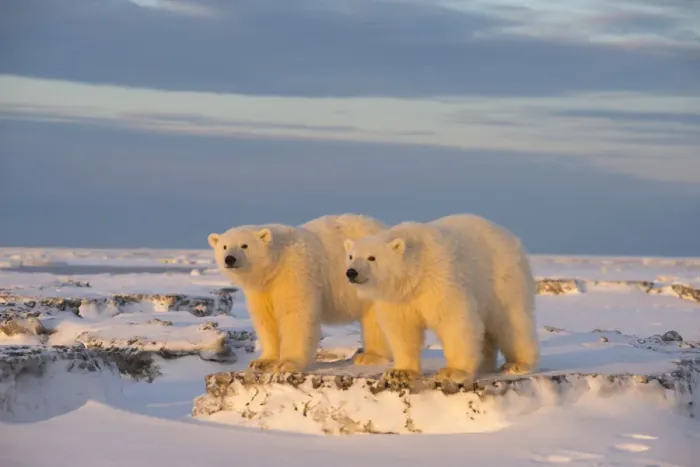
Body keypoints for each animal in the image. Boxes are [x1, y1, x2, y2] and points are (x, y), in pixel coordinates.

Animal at [208, 214, 391, 373]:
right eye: (224, 246)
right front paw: (263, 361)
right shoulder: (261, 289)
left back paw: (370, 357)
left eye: (244, 245)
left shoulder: (293, 273)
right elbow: (266, 318)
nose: (229, 259)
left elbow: (295, 314)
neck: (275, 264)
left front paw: (286, 363)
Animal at [343, 213, 539, 385]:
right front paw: (400, 372)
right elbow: (402, 328)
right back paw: (485, 364)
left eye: (371, 257)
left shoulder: (440, 281)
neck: (415, 275)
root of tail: (508, 235)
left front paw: (453, 372)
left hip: (503, 279)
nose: (351, 272)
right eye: (351, 256)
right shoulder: (399, 298)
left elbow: (454, 320)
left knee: (511, 322)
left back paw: (518, 364)